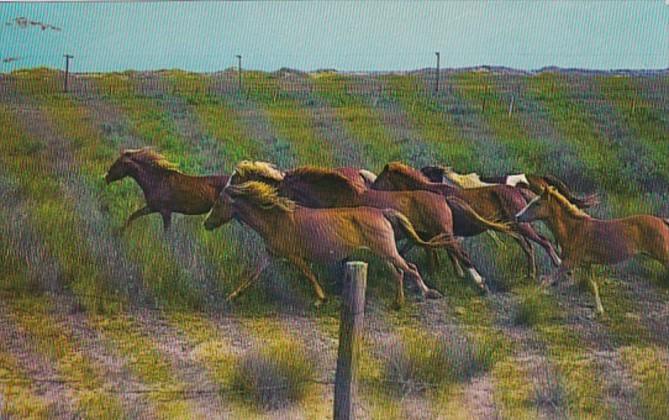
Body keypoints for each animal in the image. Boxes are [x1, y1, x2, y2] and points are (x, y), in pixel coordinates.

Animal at [205, 179, 454, 306]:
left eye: (218, 203)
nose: (206, 224)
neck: (275, 219)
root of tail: (383, 212)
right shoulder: (271, 254)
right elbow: (252, 275)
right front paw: (232, 296)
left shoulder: (294, 256)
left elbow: (308, 274)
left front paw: (321, 299)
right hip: (383, 253)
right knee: (399, 272)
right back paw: (398, 302)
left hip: (387, 251)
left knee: (409, 268)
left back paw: (429, 293)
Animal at [227, 161, 516, 292]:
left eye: (236, 179)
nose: (227, 193)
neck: (342, 196)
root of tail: (443, 196)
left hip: (442, 231)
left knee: (459, 252)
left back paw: (478, 282)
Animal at [374, 162, 560, 278]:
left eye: (380, 179)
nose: (372, 188)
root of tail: (517, 190)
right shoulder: (431, 234)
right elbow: (419, 250)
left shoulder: (439, 233)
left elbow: (444, 252)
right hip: (513, 228)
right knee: (528, 246)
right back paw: (531, 274)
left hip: (522, 226)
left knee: (543, 241)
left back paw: (556, 264)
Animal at [516, 185, 668, 314]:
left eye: (537, 203)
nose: (517, 217)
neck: (573, 229)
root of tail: (662, 221)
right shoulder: (586, 264)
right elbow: (593, 285)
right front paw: (600, 310)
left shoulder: (570, 261)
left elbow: (547, 281)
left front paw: (527, 299)